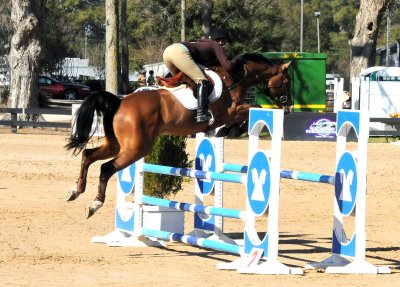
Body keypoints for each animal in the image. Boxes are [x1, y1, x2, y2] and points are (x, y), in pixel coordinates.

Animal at [65, 53, 290, 219]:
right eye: (287, 80)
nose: (288, 107)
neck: (233, 79)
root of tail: (119, 102)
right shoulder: (230, 112)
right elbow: (253, 108)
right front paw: (237, 128)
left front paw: (233, 130)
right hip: (136, 148)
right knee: (106, 168)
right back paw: (94, 204)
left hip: (117, 145)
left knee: (88, 155)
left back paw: (76, 190)